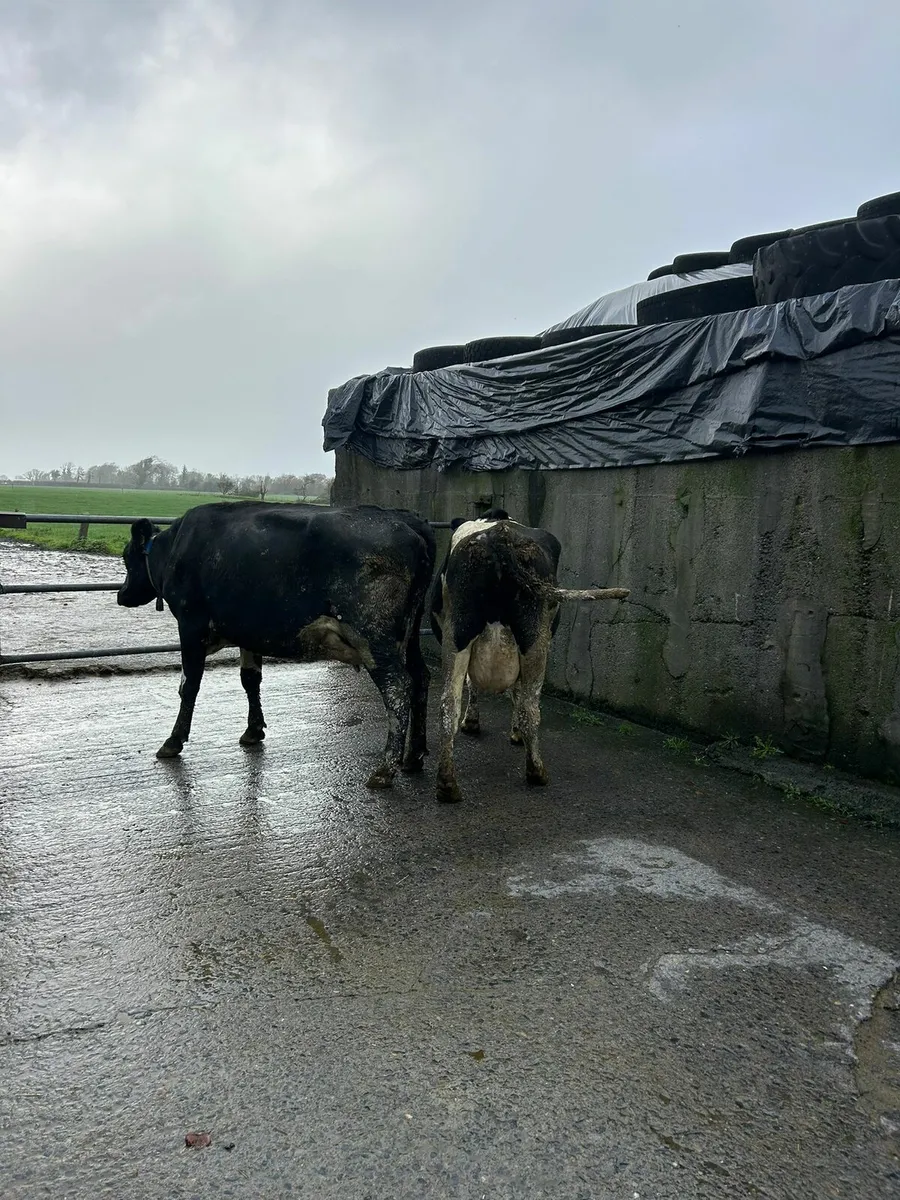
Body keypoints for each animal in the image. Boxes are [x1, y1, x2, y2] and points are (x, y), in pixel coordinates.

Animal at [117, 502, 436, 789]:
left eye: (127, 557)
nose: (121, 595)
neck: (176, 547)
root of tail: (404, 518)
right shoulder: (248, 630)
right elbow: (250, 679)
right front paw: (253, 730)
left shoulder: (191, 625)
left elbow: (189, 685)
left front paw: (173, 741)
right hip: (409, 635)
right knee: (421, 676)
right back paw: (414, 756)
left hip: (373, 635)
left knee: (398, 687)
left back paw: (385, 770)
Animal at [430, 509, 629, 803]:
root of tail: (500, 534)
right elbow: (517, 693)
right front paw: (512, 733)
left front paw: (474, 722)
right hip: (534, 637)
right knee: (530, 706)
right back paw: (536, 771)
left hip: (458, 634)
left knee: (448, 703)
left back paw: (447, 784)